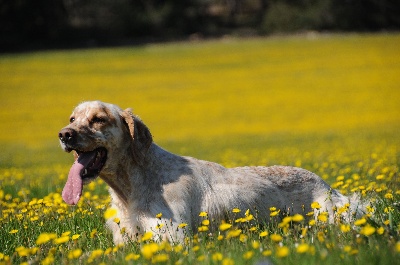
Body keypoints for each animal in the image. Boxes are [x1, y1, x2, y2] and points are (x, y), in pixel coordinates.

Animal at [58, 100, 362, 242]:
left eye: (99, 119)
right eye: (72, 118)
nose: (65, 135)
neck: (132, 186)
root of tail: (327, 185)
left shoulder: (173, 237)